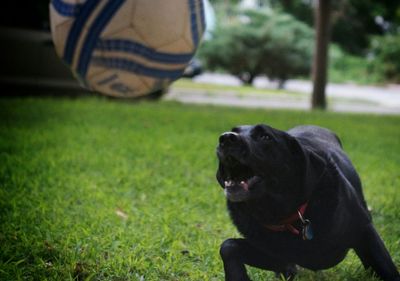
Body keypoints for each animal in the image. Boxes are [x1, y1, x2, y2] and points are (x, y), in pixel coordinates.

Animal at [217, 123, 398, 278]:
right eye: (234, 130)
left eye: (265, 137)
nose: (226, 138)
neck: (285, 216)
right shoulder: (278, 254)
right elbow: (228, 246)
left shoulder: (363, 229)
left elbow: (387, 267)